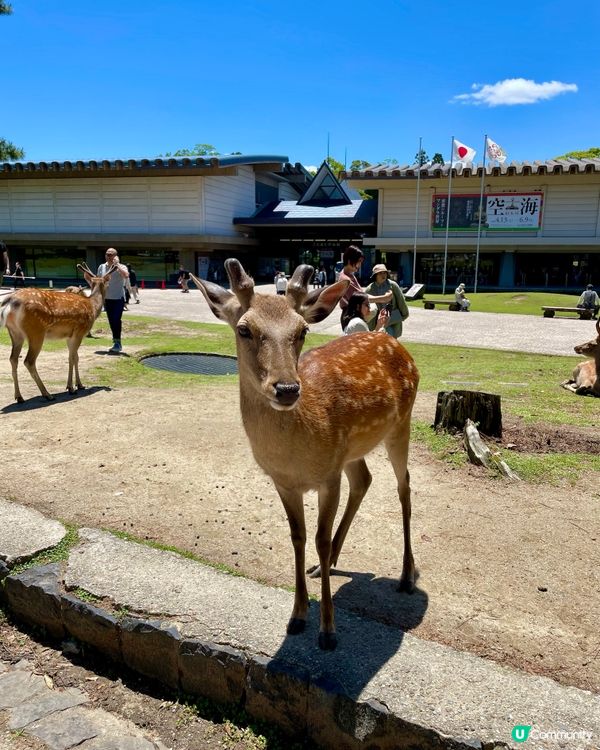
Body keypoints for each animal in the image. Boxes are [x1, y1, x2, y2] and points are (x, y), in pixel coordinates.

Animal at [0, 263, 116, 403]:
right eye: (107, 283)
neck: (92, 307)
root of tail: (9, 302)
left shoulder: (69, 336)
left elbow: (76, 357)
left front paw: (79, 384)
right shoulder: (79, 331)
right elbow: (71, 358)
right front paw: (71, 388)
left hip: (15, 333)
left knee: (13, 359)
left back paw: (19, 396)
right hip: (36, 332)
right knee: (29, 361)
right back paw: (47, 394)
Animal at [191, 259, 419, 650]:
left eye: (302, 330)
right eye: (243, 329)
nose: (286, 388)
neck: (296, 454)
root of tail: (396, 343)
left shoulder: (328, 477)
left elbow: (320, 540)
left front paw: (328, 631)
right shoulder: (285, 482)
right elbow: (298, 537)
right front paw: (297, 615)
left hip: (400, 426)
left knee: (404, 487)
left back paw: (406, 575)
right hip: (352, 449)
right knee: (364, 479)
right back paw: (325, 566)